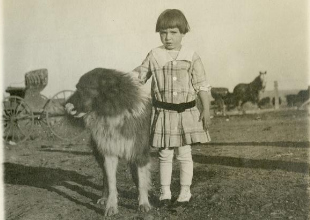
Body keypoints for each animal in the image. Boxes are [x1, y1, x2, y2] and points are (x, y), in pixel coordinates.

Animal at [65, 68, 153, 216]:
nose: (66, 106)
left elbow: (141, 180)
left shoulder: (139, 153)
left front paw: (143, 203)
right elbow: (111, 181)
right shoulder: (108, 153)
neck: (111, 112)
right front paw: (111, 206)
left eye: (83, 89)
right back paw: (104, 198)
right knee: (105, 177)